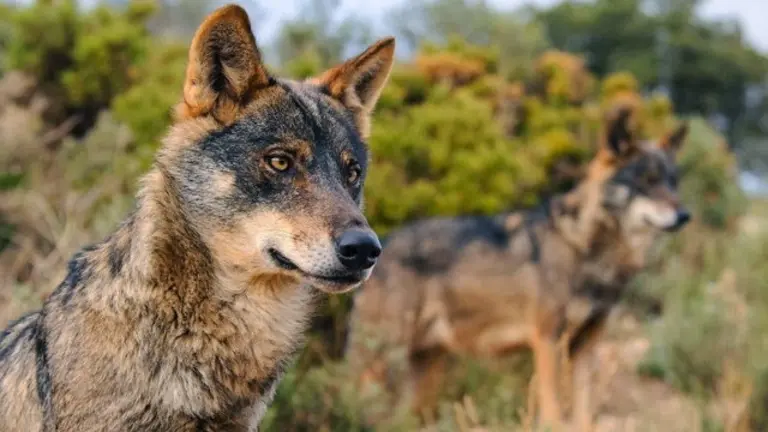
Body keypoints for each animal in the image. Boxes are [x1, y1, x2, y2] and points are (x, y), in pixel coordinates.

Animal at [346, 108, 690, 431]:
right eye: (647, 181)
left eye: (673, 182)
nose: (685, 215)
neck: (584, 247)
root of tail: (381, 244)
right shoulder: (548, 340)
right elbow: (553, 410)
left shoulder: (587, 346)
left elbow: (584, 414)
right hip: (382, 361)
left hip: (425, 371)